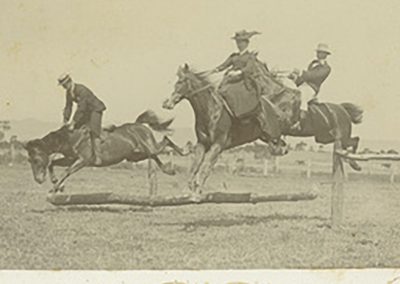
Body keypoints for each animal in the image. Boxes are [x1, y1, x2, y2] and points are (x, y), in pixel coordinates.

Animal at [22, 110, 188, 192]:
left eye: (36, 160)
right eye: (29, 160)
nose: (38, 180)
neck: (70, 138)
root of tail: (139, 125)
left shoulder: (83, 160)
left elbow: (67, 171)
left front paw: (55, 188)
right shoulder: (71, 158)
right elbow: (52, 163)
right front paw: (58, 184)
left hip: (148, 147)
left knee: (165, 141)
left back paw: (185, 150)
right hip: (134, 155)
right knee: (154, 155)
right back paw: (169, 170)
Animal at [162, 64, 288, 193]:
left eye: (181, 82)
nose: (167, 104)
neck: (211, 112)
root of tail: (271, 105)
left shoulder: (217, 145)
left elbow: (206, 168)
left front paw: (198, 189)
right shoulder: (202, 144)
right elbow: (195, 167)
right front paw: (188, 189)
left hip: (272, 132)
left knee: (279, 143)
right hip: (264, 136)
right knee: (279, 144)